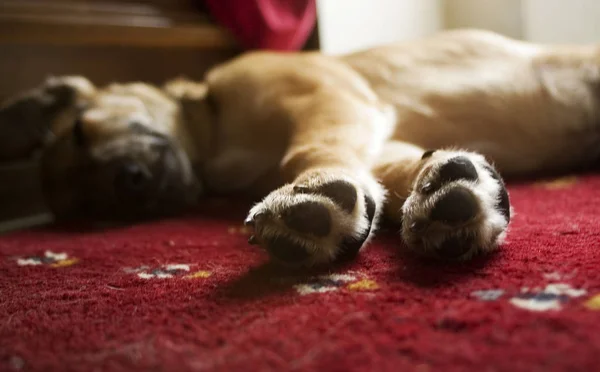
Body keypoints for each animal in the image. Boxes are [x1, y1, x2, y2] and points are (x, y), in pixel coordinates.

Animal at [1, 30, 600, 266]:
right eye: (88, 211)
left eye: (82, 129)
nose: (125, 184)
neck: (214, 134)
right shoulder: (374, 130)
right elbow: (396, 173)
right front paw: (444, 189)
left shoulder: (327, 99)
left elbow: (309, 151)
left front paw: (314, 195)